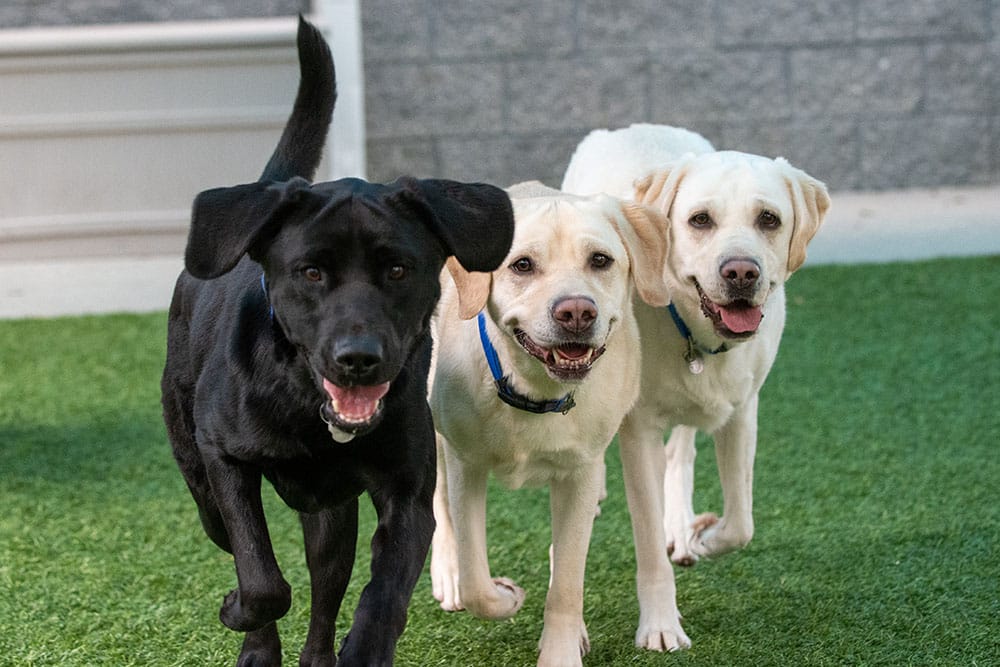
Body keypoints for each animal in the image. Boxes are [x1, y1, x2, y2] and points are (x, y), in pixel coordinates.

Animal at [162, 17, 516, 667]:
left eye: (398, 270)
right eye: (310, 272)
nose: (358, 360)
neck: (306, 405)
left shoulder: (408, 491)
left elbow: (387, 589)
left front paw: (366, 647)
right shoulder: (225, 460)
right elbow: (261, 577)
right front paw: (237, 611)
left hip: (332, 517)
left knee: (326, 590)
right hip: (199, 481)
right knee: (239, 548)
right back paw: (256, 648)